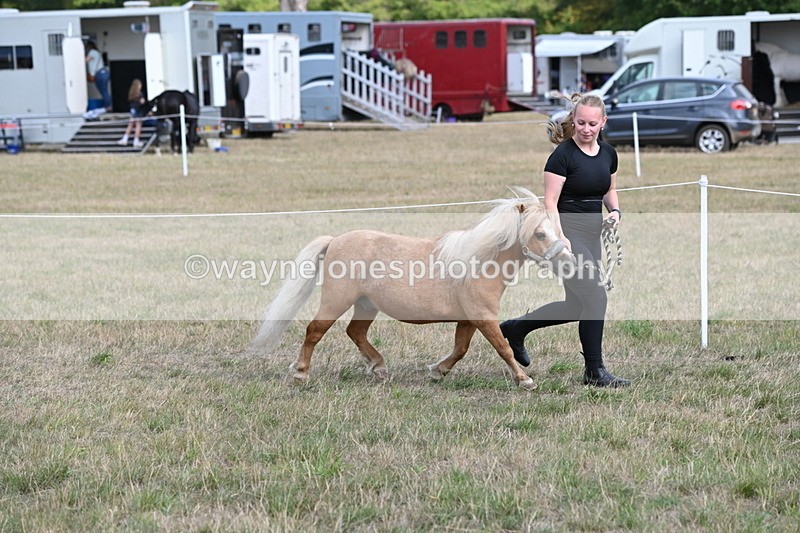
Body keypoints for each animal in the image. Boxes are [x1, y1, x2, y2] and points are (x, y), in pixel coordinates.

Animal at [253, 188, 575, 390]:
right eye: (540, 233)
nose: (569, 261)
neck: (479, 262)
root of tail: (335, 241)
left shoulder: (469, 319)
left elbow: (460, 349)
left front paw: (437, 371)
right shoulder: (483, 317)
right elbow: (504, 348)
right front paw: (525, 380)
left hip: (366, 304)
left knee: (355, 332)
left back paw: (379, 368)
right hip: (336, 300)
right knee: (315, 331)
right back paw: (301, 373)